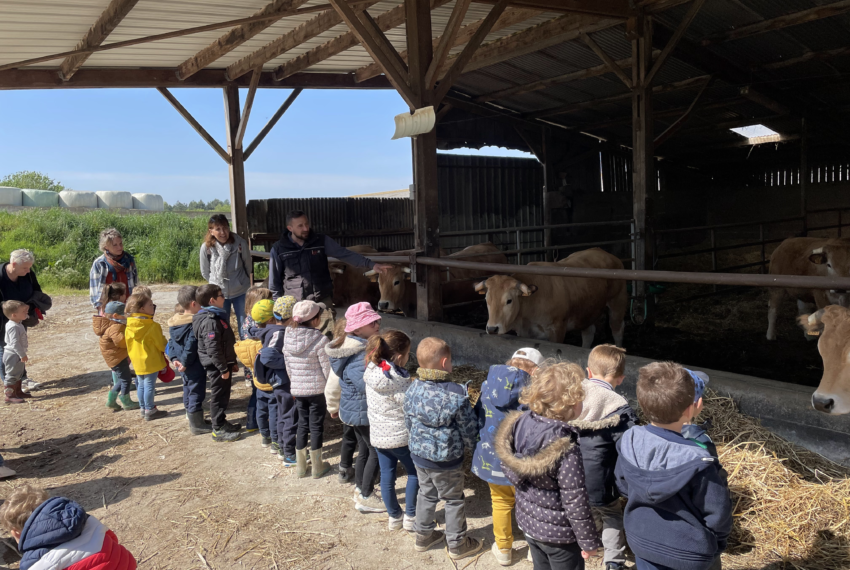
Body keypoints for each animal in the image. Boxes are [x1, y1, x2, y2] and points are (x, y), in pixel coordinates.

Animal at [474, 247, 628, 346]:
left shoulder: (557, 330)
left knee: (617, 330)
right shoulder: (525, 334)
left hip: (617, 304)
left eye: (509, 301)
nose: (492, 329)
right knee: (588, 334)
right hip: (588, 311)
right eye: (487, 300)